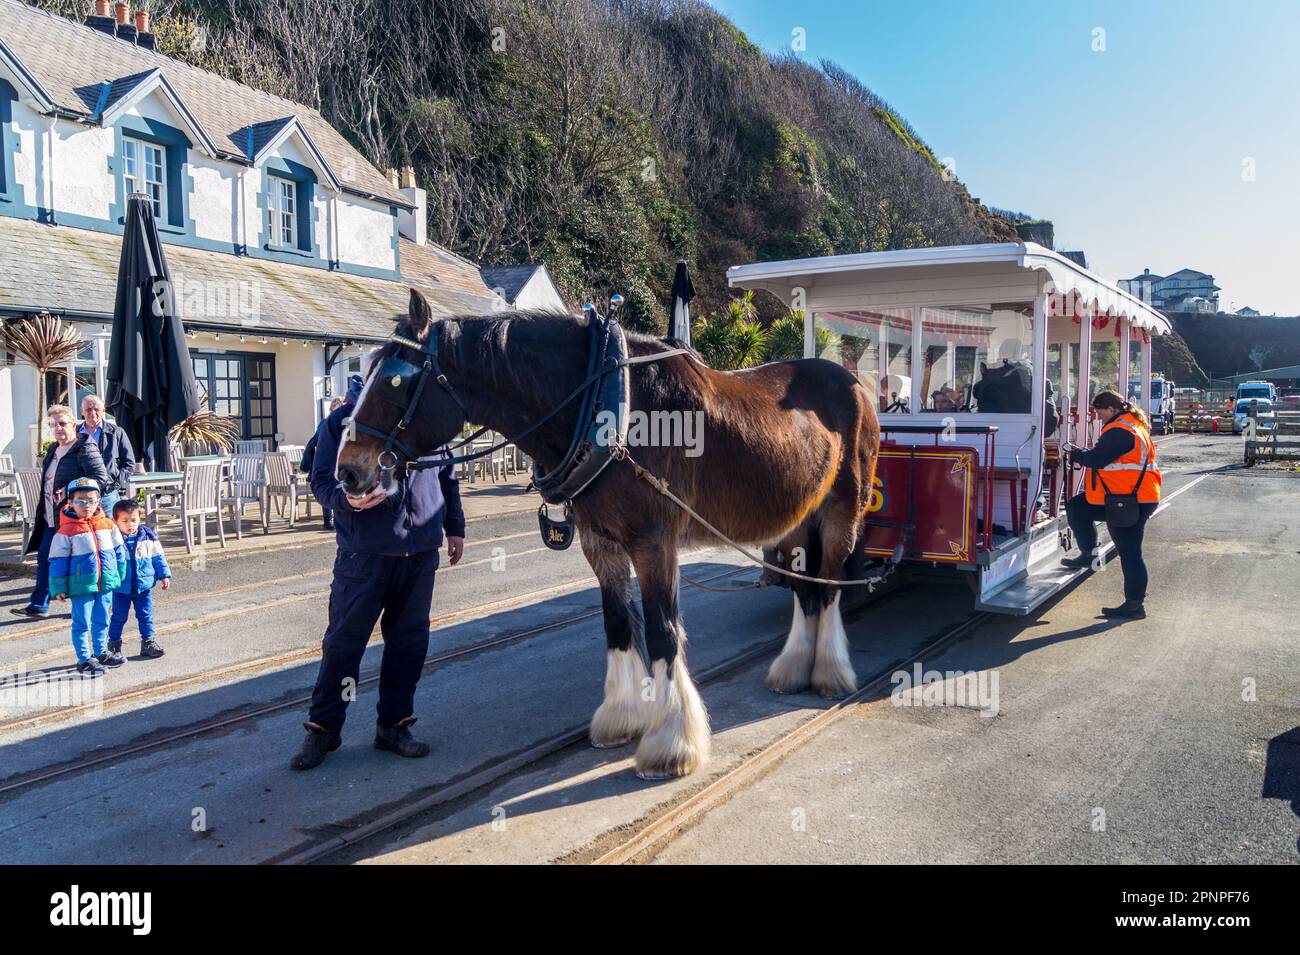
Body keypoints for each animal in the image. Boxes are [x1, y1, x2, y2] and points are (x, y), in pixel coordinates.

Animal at [338, 289, 883, 779]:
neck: (608, 407)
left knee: (829, 586)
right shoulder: (600, 542)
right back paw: (794, 669)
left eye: (395, 379)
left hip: (843, 511)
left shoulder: (654, 542)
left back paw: (830, 673)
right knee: (805, 590)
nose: (348, 472)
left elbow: (663, 631)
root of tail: (854, 383)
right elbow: (619, 624)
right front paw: (622, 718)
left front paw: (671, 744)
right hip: (797, 520)